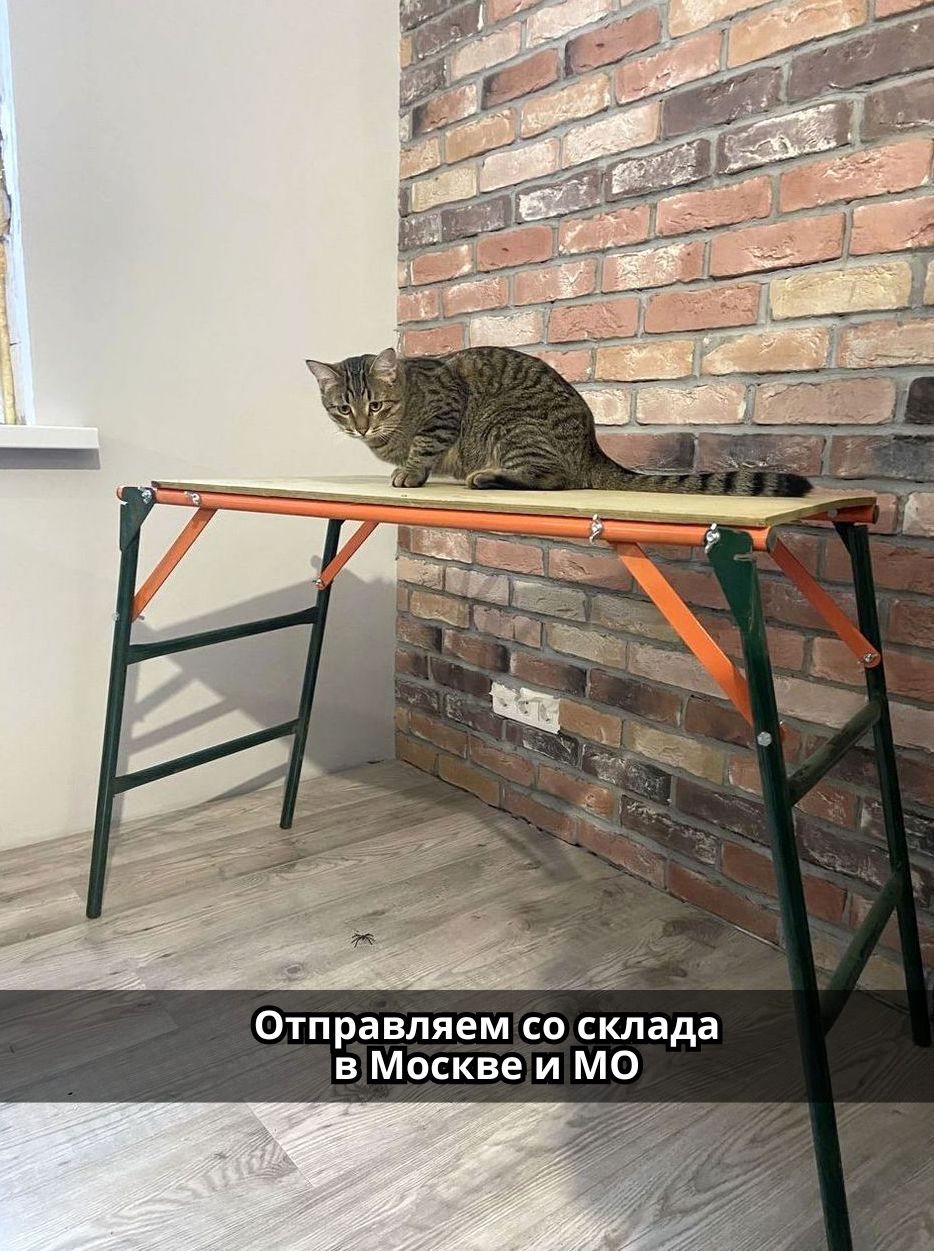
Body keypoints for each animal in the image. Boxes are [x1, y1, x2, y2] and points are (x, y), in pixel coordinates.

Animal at [306, 345, 812, 498]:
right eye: (343, 408)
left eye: (376, 406)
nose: (361, 427)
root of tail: (592, 447)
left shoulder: (447, 409)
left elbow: (424, 448)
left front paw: (409, 472)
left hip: (509, 423)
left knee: (554, 478)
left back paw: (487, 476)